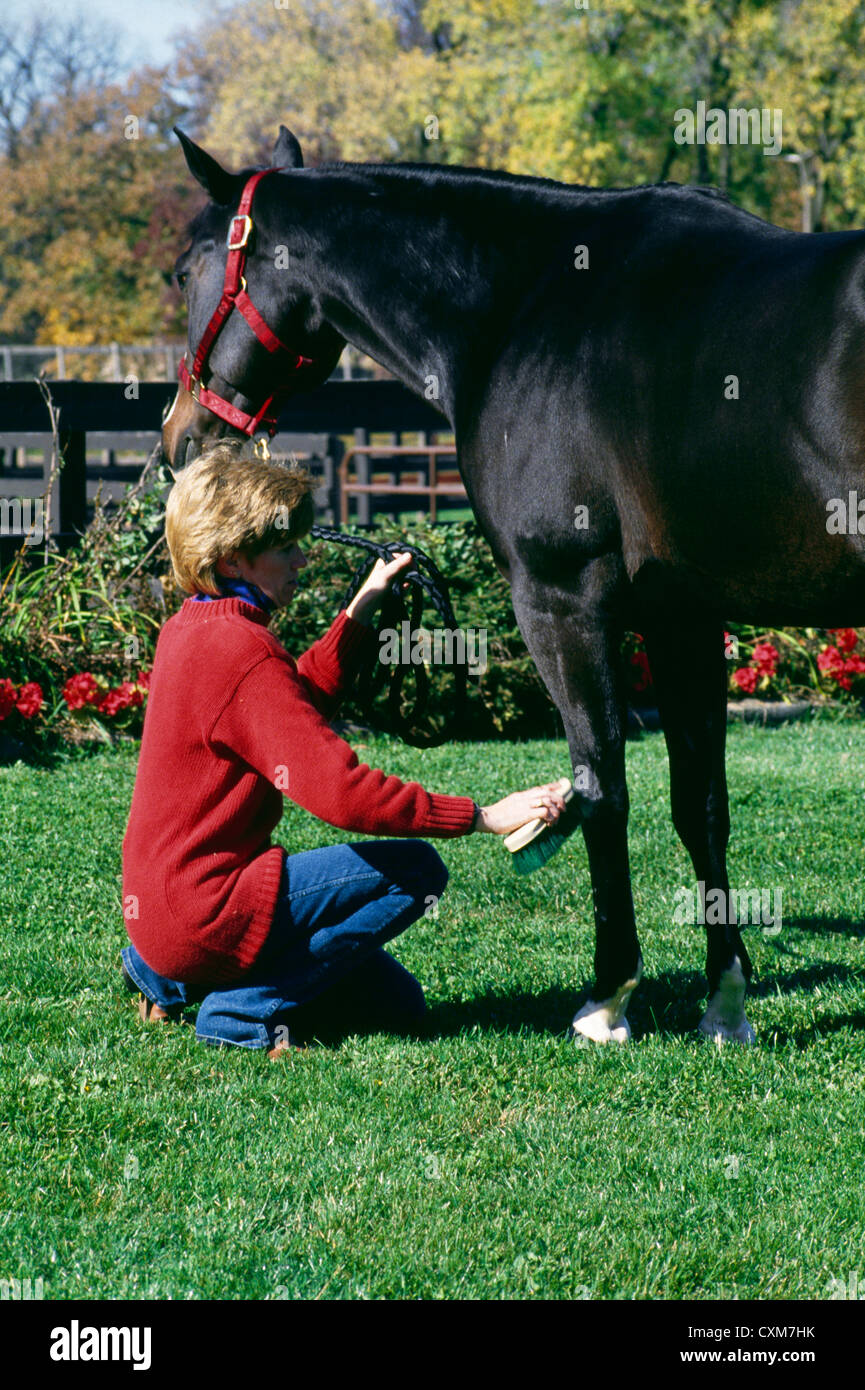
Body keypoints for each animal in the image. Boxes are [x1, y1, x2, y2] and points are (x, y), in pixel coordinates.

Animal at [161, 127, 865, 1045]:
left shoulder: (559, 601)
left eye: (186, 270)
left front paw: (607, 1000)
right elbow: (699, 803)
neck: (527, 306)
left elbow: (602, 790)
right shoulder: (680, 617)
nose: (182, 437)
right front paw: (724, 1005)